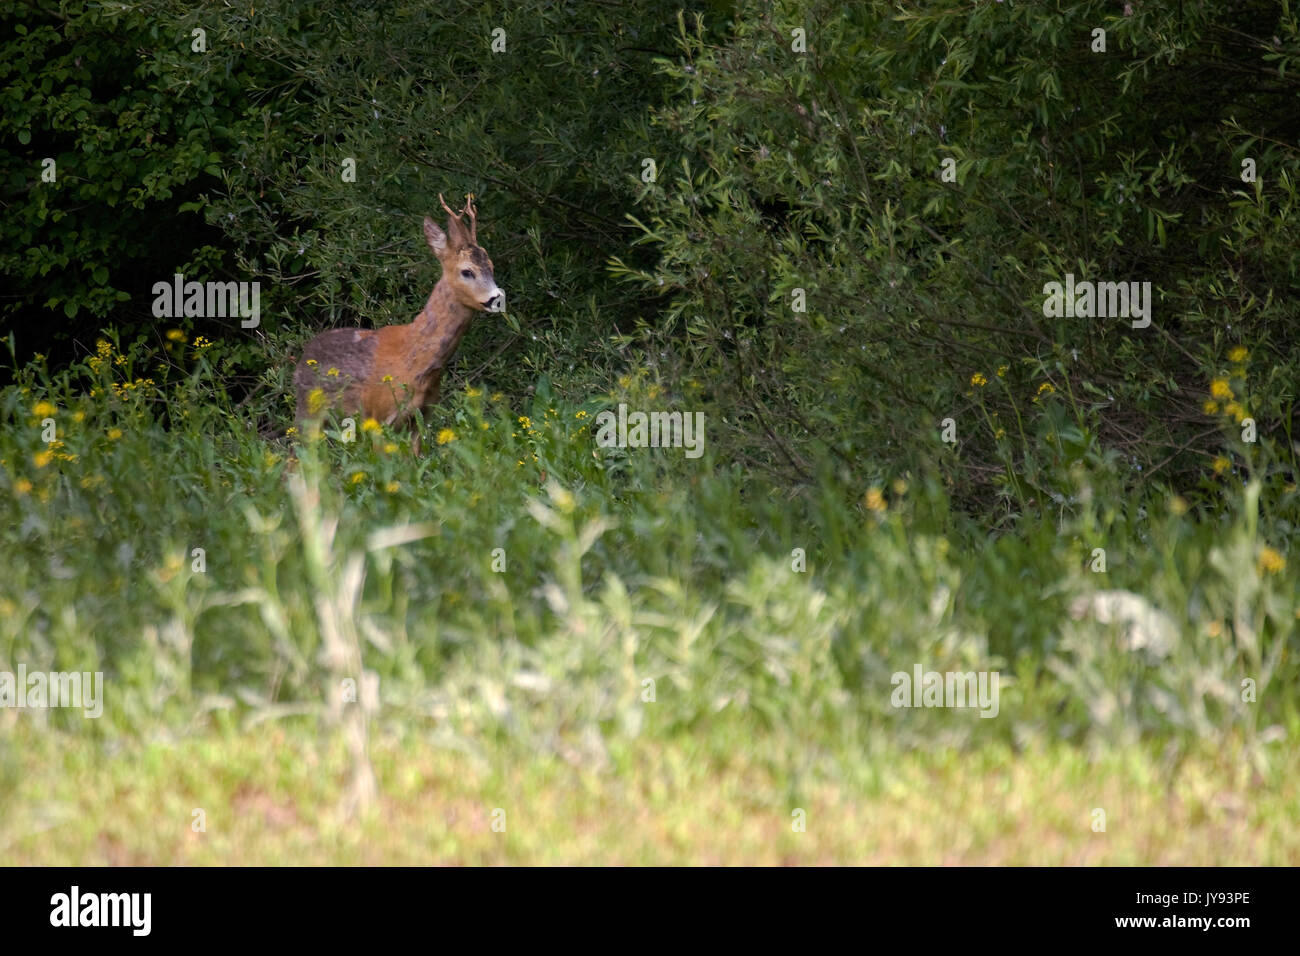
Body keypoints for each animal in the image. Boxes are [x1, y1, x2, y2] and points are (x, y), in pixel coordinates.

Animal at [292, 194, 505, 453]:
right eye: (467, 271)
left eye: (491, 267)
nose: (496, 298)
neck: (416, 361)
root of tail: (303, 357)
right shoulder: (378, 416)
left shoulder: (421, 416)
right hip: (307, 411)